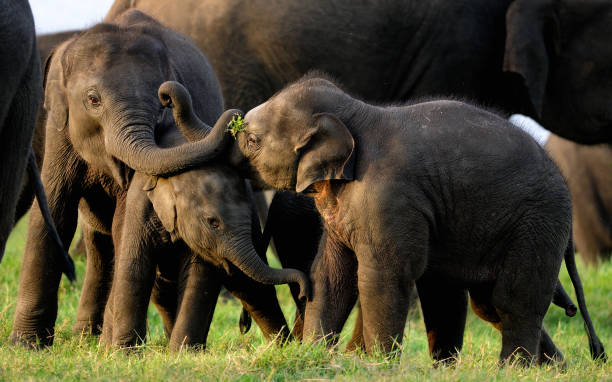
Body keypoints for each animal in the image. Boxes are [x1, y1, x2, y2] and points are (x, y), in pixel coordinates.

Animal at [8, 9, 246, 350]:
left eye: (160, 104)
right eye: (93, 99)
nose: (169, 94)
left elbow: (125, 219)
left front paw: (113, 346)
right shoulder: (58, 129)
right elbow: (53, 212)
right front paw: (26, 345)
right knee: (97, 245)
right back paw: (86, 337)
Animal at [102, 100, 308, 350]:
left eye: (249, 217)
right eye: (213, 223)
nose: (305, 292)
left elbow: (198, 279)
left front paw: (181, 353)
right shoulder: (140, 205)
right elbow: (135, 267)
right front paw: (125, 353)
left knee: (253, 289)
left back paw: (282, 347)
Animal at [167, 75, 608, 364]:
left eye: (253, 140)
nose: (167, 97)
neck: (358, 113)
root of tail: (560, 180)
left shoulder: (388, 195)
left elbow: (383, 274)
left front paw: (377, 365)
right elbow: (332, 272)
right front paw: (315, 355)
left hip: (537, 224)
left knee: (513, 300)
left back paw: (513, 368)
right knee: (484, 303)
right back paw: (549, 368)